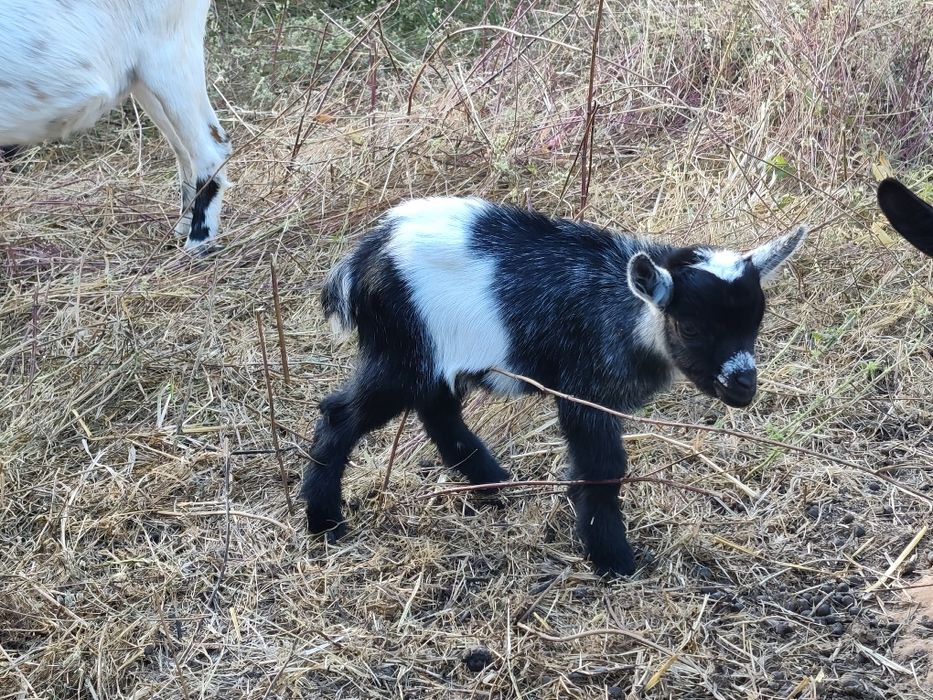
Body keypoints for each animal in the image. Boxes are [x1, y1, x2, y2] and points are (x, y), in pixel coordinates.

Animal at [0, 0, 231, 250]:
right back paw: (181, 228)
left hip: (169, 56)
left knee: (208, 151)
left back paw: (197, 243)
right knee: (191, 148)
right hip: (142, 78)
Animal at [301, 197, 807, 575]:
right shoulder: (585, 393)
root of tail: (364, 256)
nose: (743, 386)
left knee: (438, 411)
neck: (622, 308)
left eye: (754, 323)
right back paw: (324, 521)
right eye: (690, 327)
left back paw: (493, 485)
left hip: (430, 356)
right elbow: (602, 468)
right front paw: (613, 560)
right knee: (341, 414)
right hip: (405, 350)